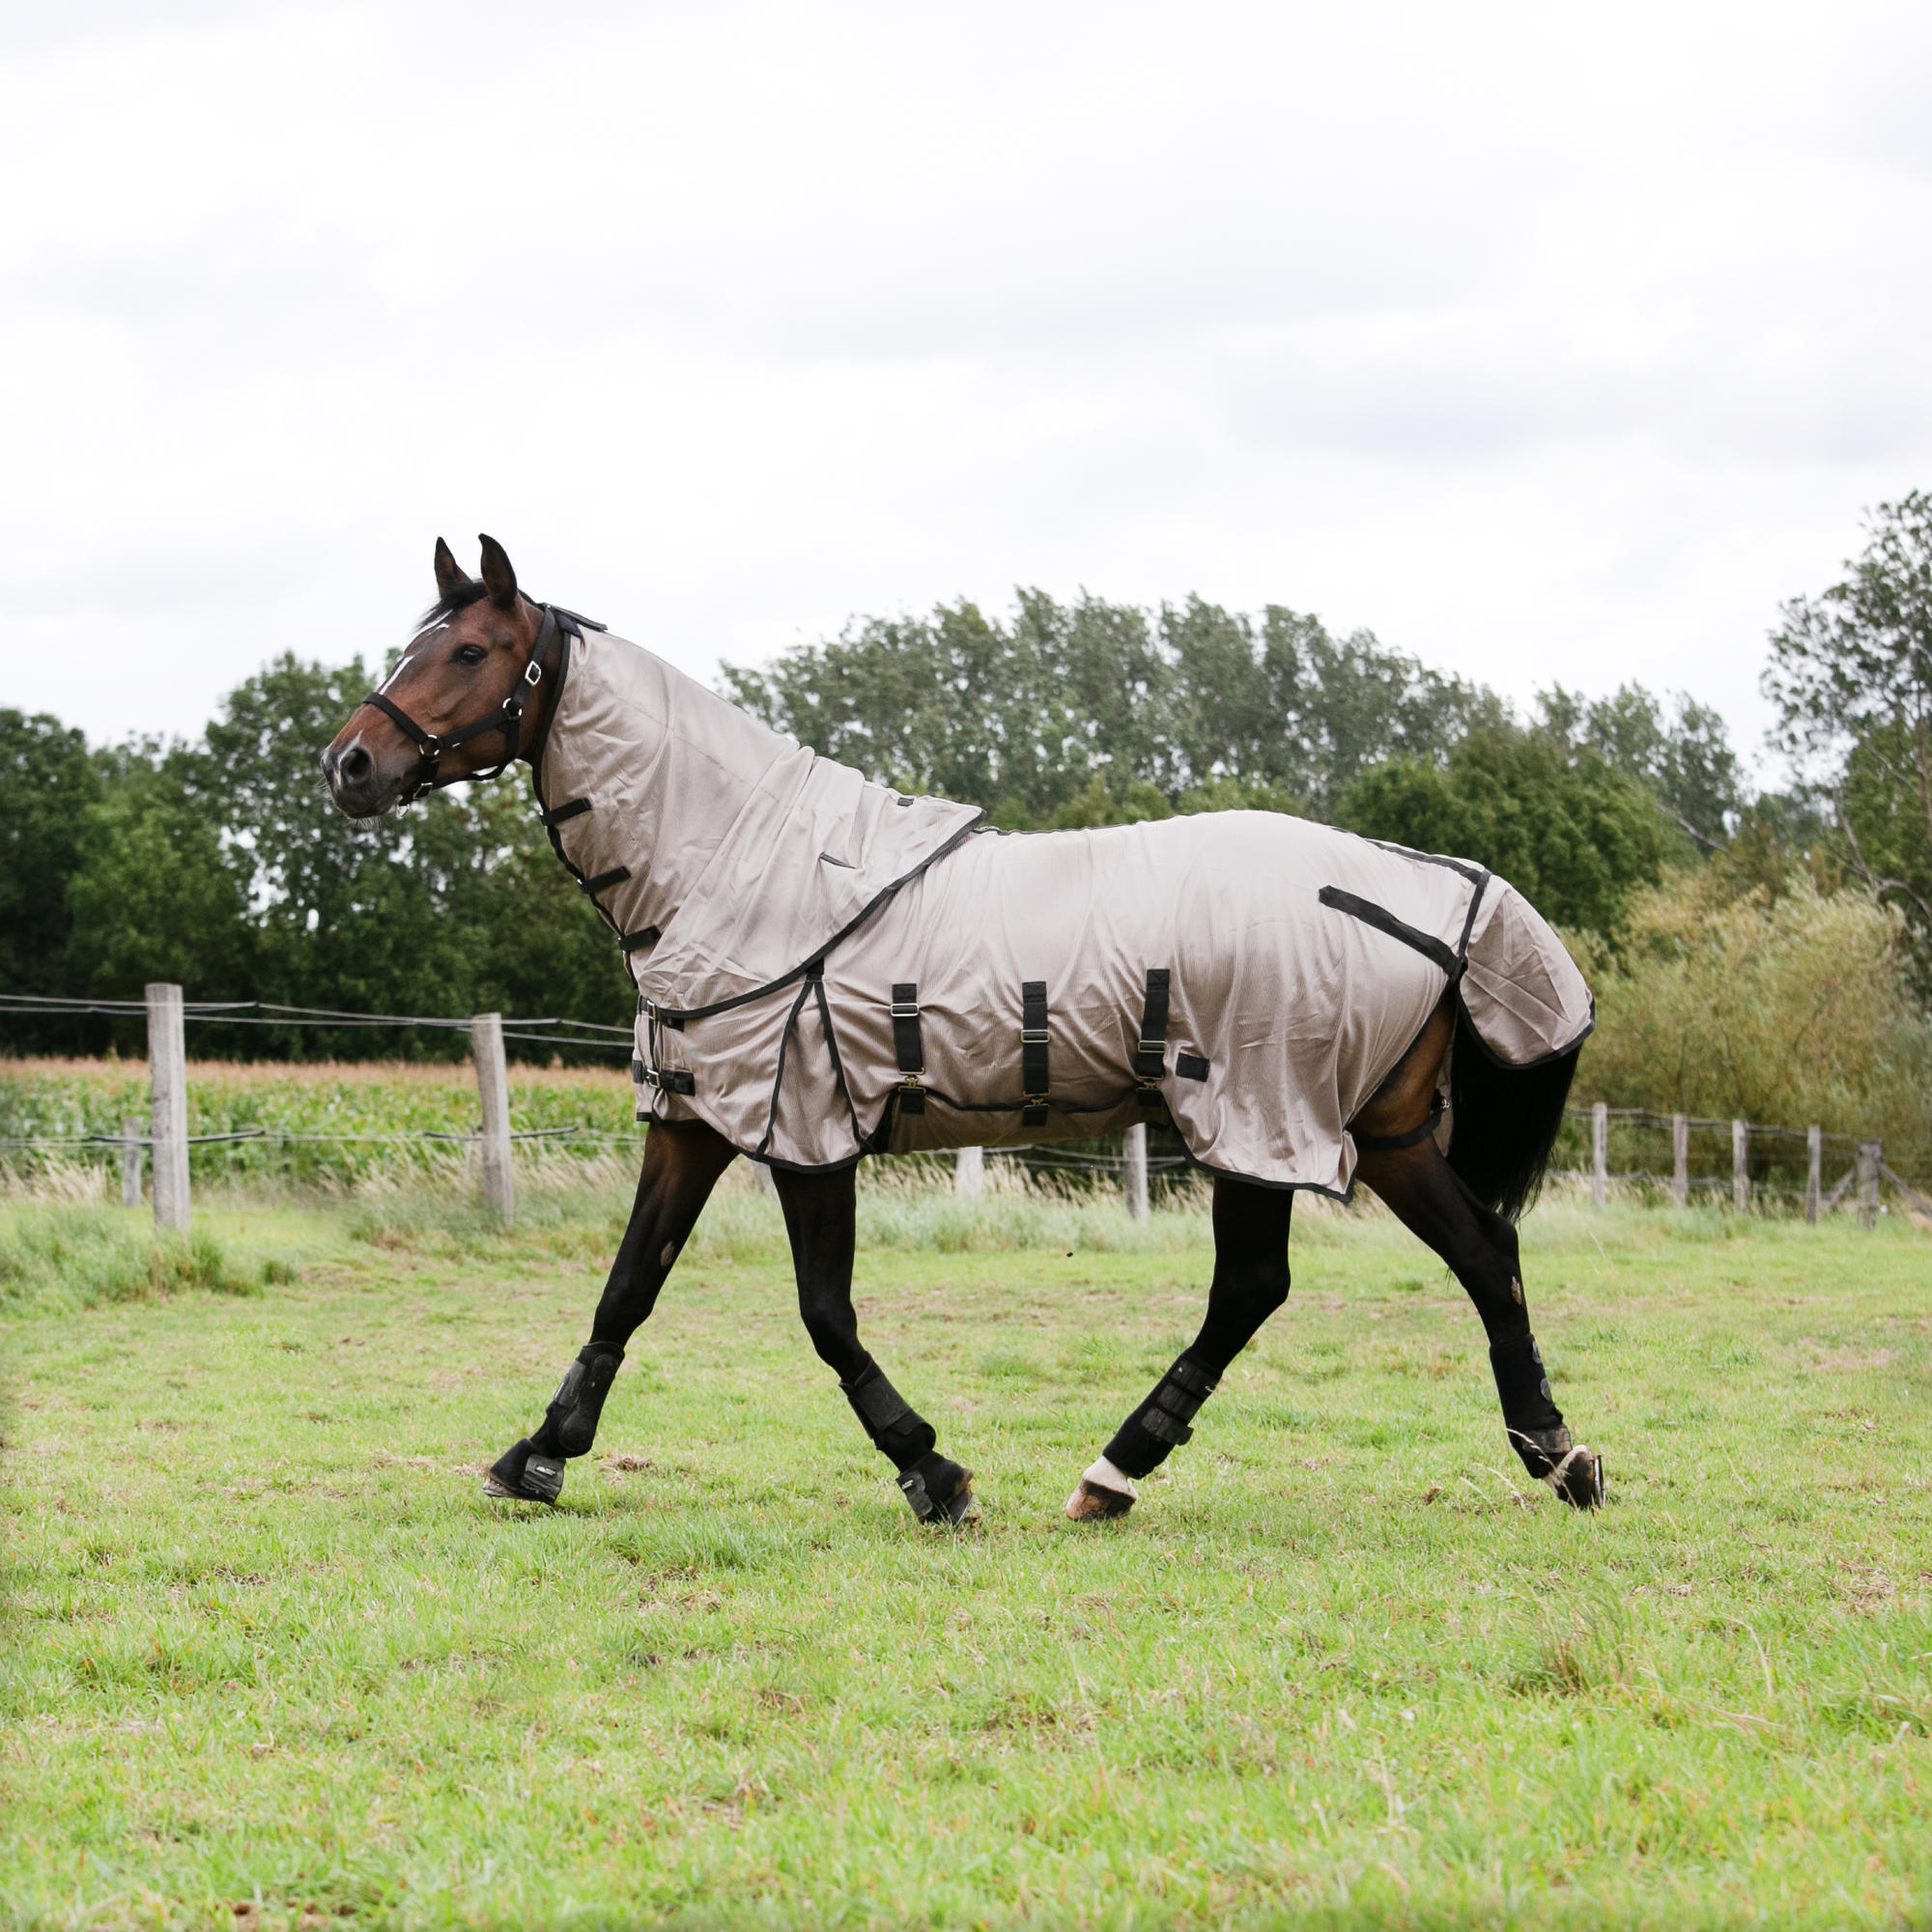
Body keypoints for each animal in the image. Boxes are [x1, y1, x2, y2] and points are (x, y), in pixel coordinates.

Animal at [325, 541, 1607, 1522]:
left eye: (469, 650)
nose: (349, 764)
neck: (734, 864)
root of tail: (1437, 886)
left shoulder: (803, 1126)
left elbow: (823, 1312)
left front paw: (930, 1469)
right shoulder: (693, 1116)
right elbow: (625, 1289)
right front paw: (537, 1453)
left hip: (1255, 1115)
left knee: (1256, 1285)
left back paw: (1114, 1469)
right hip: (1378, 1130)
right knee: (1480, 1252)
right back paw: (1557, 1454)